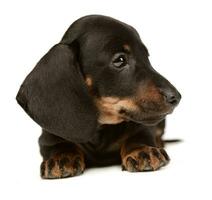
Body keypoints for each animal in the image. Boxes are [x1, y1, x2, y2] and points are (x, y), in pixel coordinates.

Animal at [16, 14, 181, 179]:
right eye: (120, 60)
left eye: (146, 56)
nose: (176, 98)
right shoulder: (48, 136)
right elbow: (58, 144)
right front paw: (61, 156)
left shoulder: (142, 126)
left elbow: (139, 135)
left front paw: (141, 150)